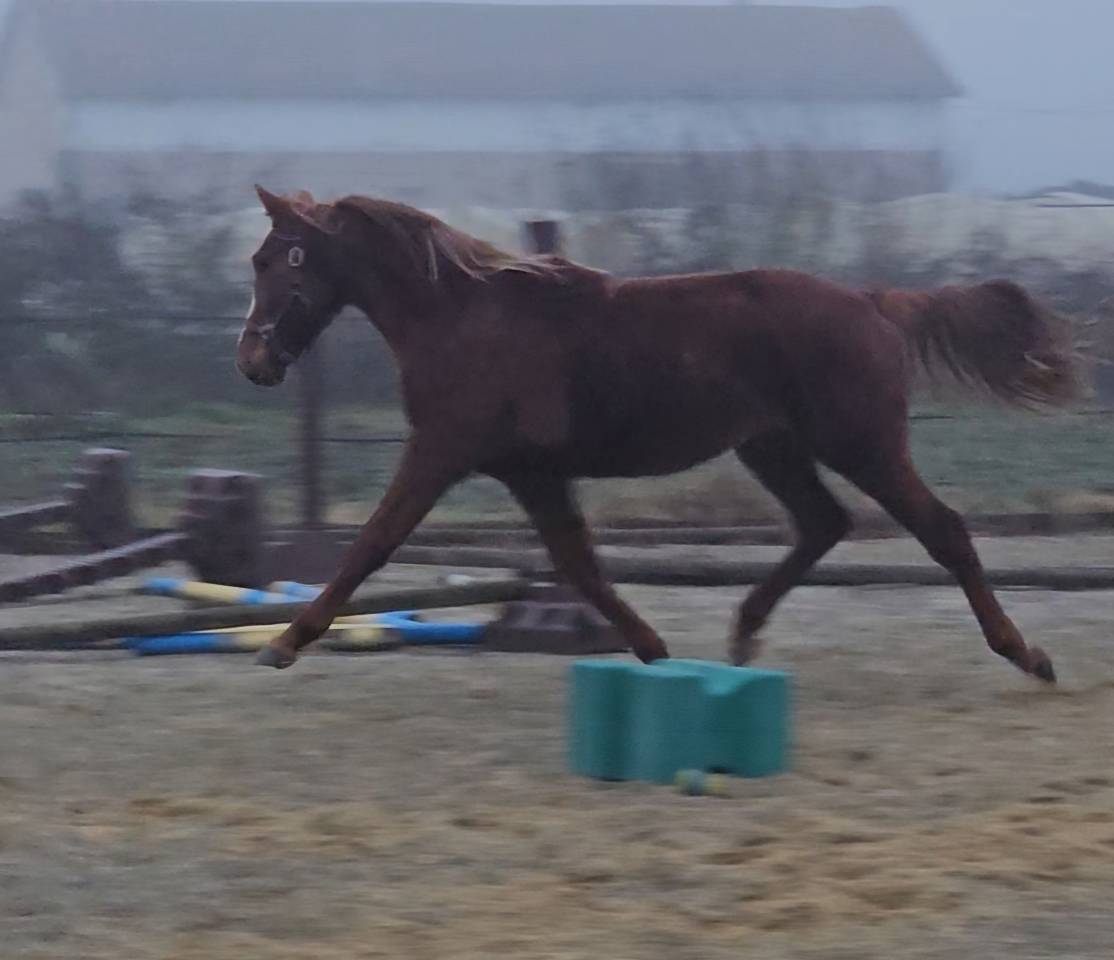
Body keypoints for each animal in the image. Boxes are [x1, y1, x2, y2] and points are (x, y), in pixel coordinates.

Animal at [237, 186, 1077, 684]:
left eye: (279, 258)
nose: (252, 360)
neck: (462, 316)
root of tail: (873, 302)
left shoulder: (443, 452)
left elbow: (373, 543)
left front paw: (285, 641)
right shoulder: (531, 473)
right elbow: (579, 566)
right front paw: (653, 650)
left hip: (861, 444)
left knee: (942, 530)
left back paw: (1027, 655)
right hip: (773, 446)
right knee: (823, 523)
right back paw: (743, 635)